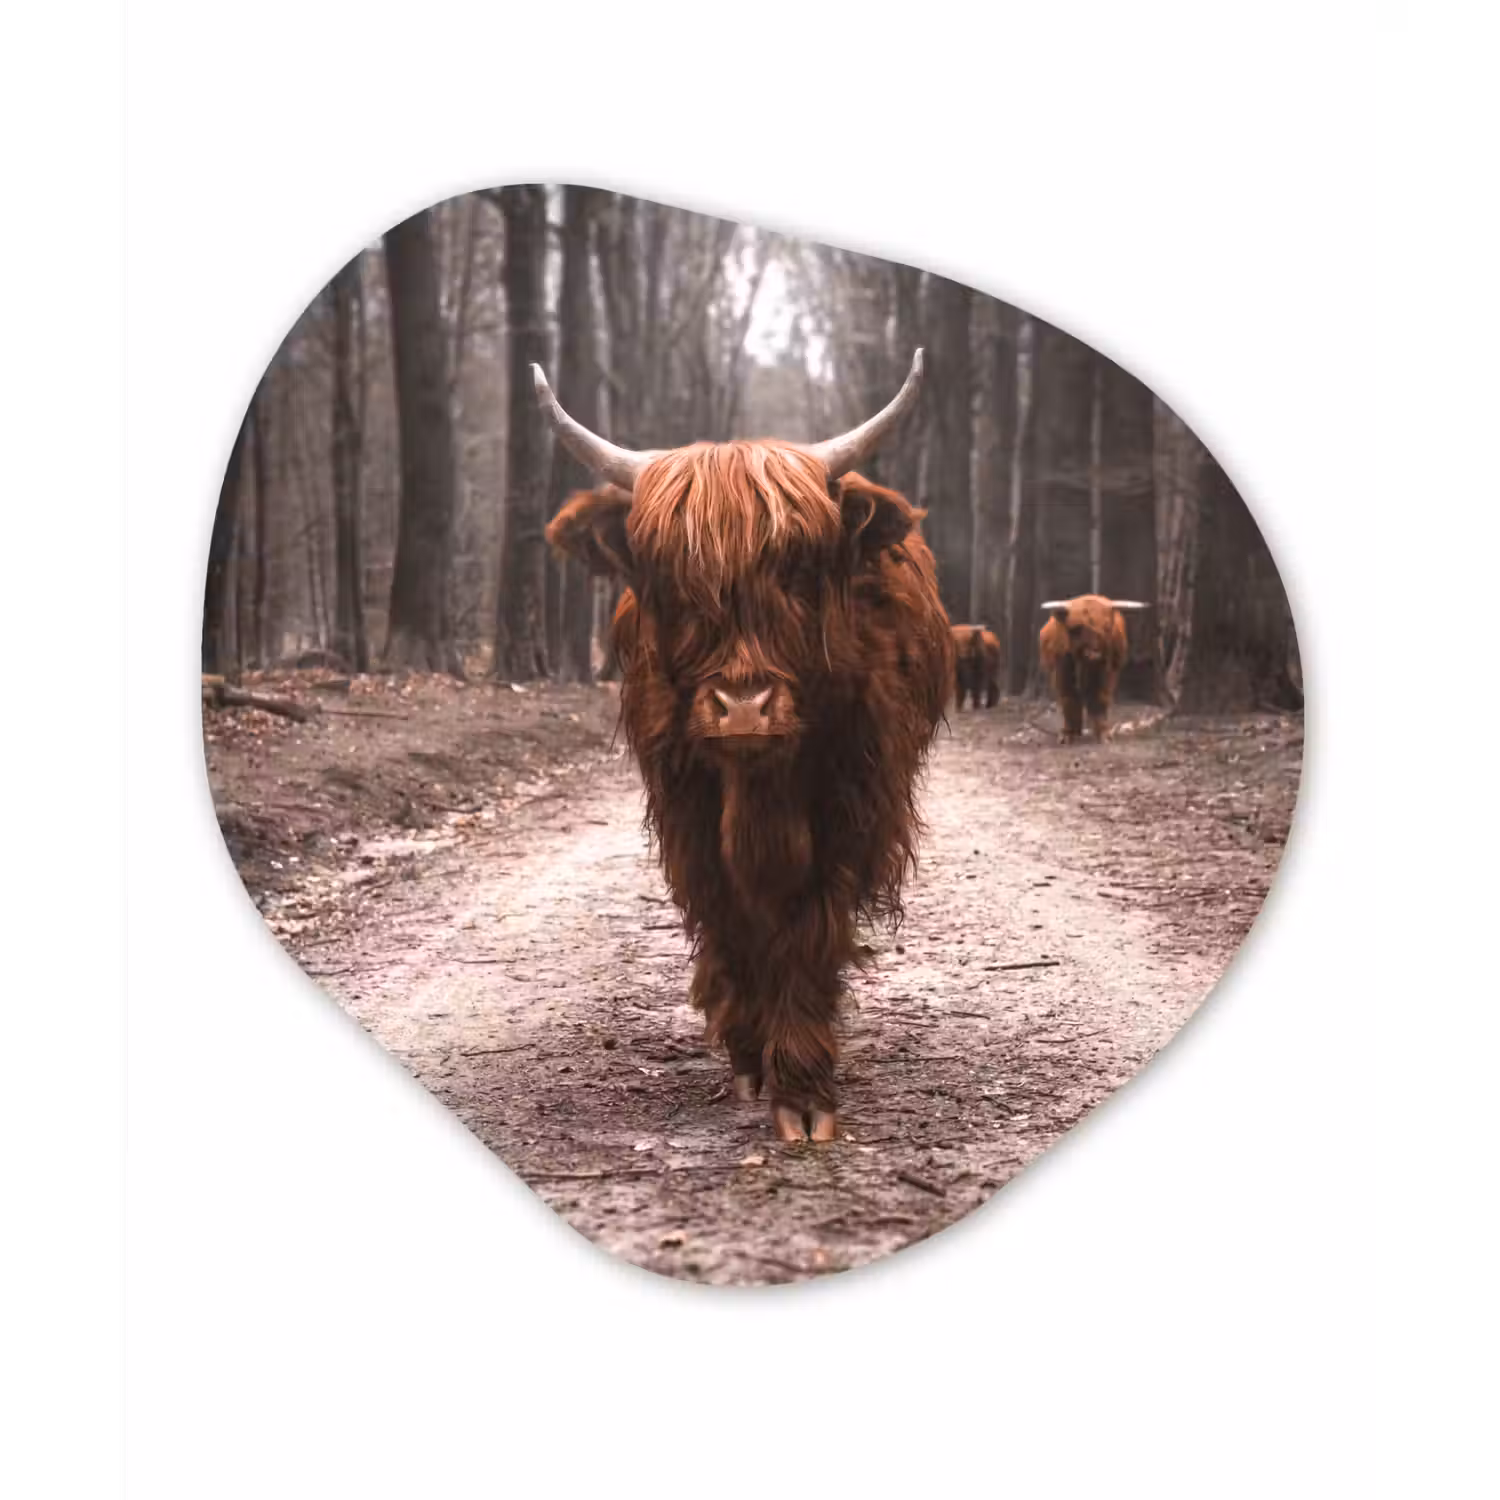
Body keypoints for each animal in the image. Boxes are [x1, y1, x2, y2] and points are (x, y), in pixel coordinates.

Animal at [537, 350, 954, 1142]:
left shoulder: (847, 809)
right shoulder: (687, 813)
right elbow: (730, 919)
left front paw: (803, 1089)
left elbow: (808, 927)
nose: (743, 709)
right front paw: (749, 1056)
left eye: (796, 568)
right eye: (670, 578)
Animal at [1037, 594, 1150, 743]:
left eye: (1107, 627)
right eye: (1076, 629)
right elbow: (1069, 698)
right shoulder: (1062, 670)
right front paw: (1067, 735)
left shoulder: (1106, 672)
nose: (1094, 653)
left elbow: (1100, 698)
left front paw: (1104, 734)